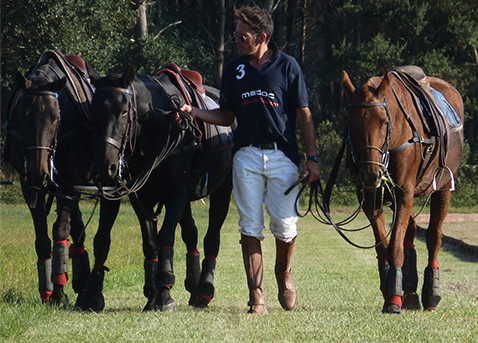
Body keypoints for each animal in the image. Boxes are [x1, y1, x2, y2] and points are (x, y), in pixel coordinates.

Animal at [85, 63, 234, 314]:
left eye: (123, 111)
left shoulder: (176, 192)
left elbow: (165, 235)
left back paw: (204, 289)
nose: (105, 166)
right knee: (191, 233)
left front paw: (164, 291)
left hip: (223, 189)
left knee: (211, 236)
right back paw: (193, 284)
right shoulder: (141, 196)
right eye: (93, 112)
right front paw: (153, 295)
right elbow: (150, 243)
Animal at [342, 66, 464, 314]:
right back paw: (409, 292)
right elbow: (383, 246)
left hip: (444, 185)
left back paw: (430, 294)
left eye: (383, 122)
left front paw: (393, 300)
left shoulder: (404, 192)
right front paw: (391, 288)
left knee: (433, 235)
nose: (371, 173)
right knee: (411, 228)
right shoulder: (371, 198)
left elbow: (394, 247)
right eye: (352, 124)